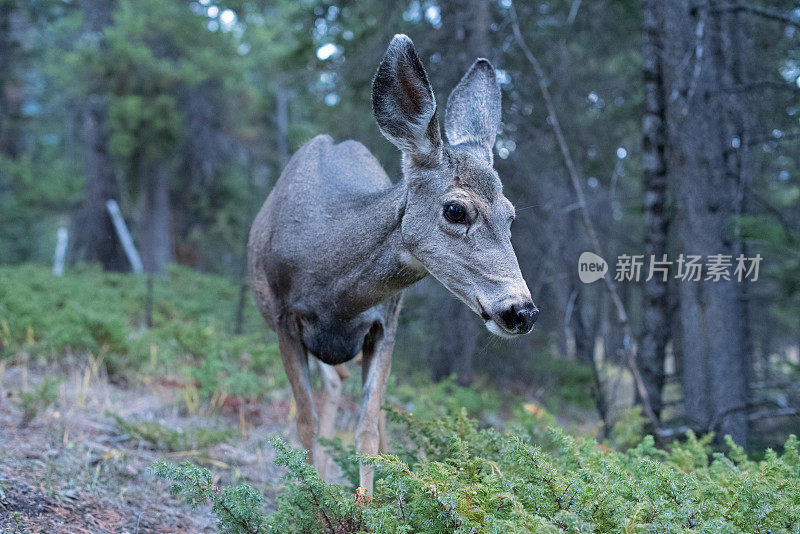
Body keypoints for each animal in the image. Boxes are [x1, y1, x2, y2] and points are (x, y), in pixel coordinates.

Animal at [250, 32, 536, 494]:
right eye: (456, 209)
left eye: (510, 215)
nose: (522, 311)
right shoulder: (283, 318)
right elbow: (304, 422)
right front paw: (306, 496)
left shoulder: (385, 324)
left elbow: (367, 429)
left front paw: (365, 501)